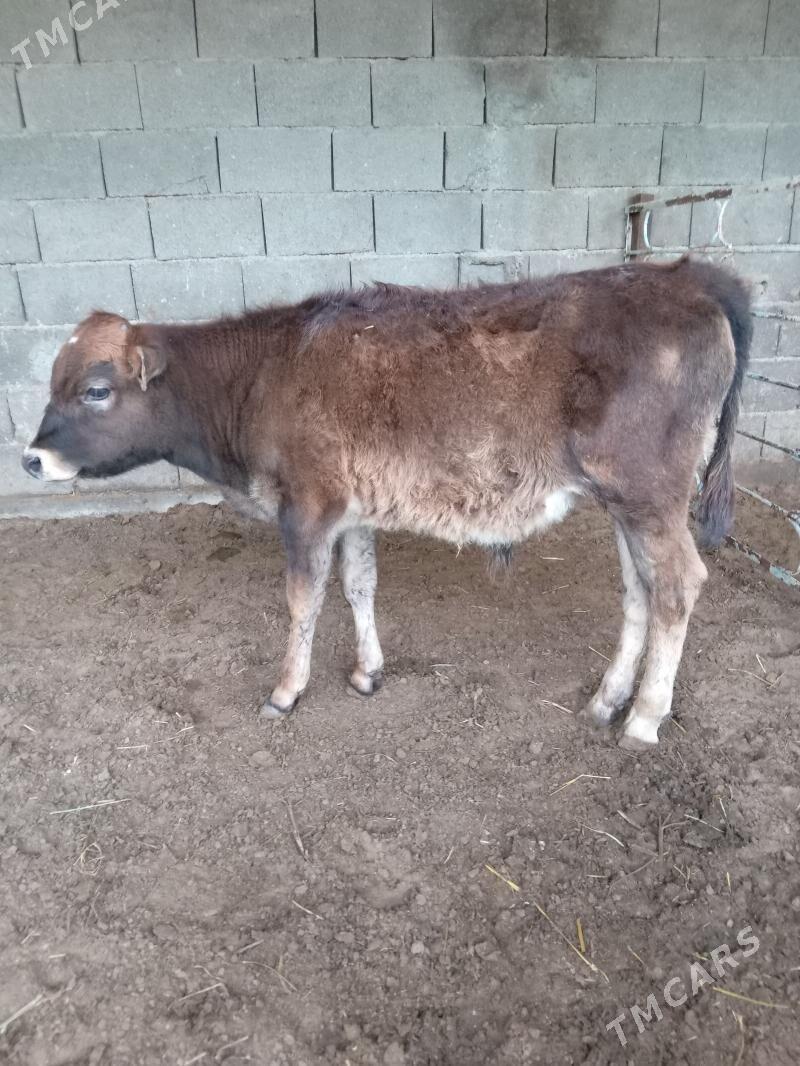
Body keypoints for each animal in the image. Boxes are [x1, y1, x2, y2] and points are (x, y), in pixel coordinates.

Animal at [22, 256, 751, 749]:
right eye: (51, 380)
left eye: (95, 390)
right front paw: (367, 672)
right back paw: (608, 700)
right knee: (640, 590)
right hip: (624, 502)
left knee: (679, 583)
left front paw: (286, 691)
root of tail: (685, 277)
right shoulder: (352, 511)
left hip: (649, 492)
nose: (31, 458)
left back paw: (645, 718)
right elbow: (359, 585)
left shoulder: (306, 507)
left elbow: (303, 599)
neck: (260, 376)